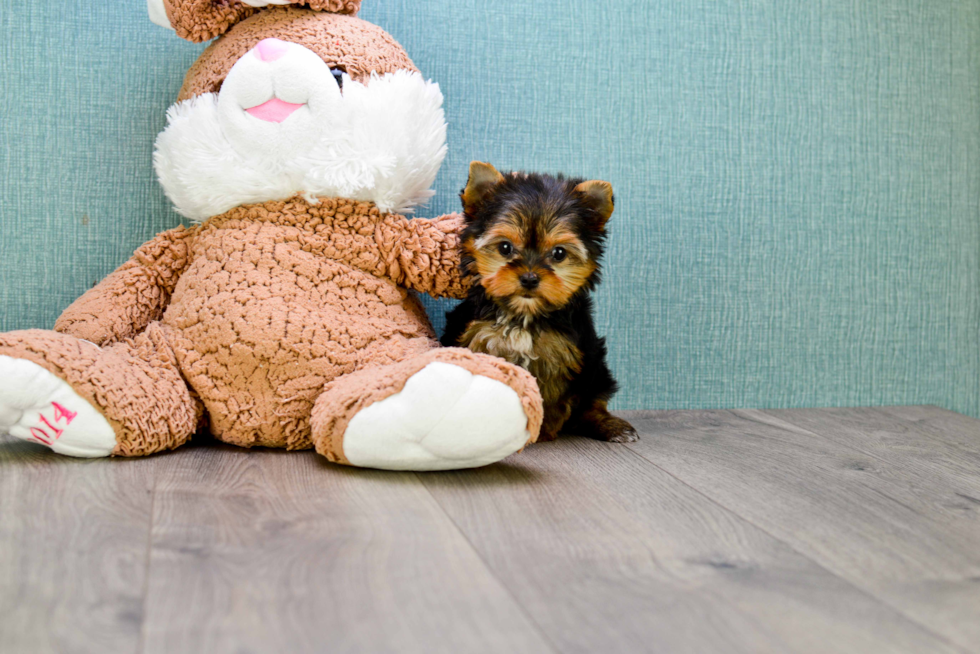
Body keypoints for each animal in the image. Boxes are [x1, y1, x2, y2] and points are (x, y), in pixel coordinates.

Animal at [442, 161, 640, 444]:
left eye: (559, 253)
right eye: (505, 248)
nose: (529, 277)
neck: (524, 314)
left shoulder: (561, 355)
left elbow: (551, 395)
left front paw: (541, 428)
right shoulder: (475, 338)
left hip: (596, 367)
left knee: (594, 400)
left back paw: (610, 425)